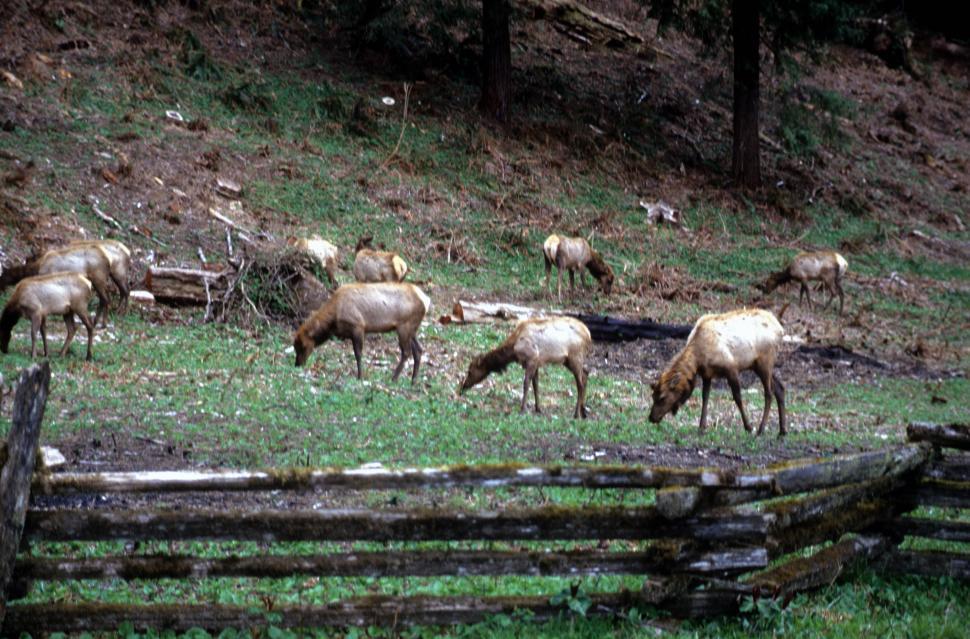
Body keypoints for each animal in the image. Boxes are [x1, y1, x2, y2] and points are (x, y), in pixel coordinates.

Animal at [293, 282, 430, 384]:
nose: (297, 364)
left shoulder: (358, 326)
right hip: (411, 329)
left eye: (303, 346)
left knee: (406, 352)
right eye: (295, 346)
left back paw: (394, 378)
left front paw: (360, 376)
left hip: (404, 327)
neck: (333, 320)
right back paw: (413, 380)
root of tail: (426, 300)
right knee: (418, 350)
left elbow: (358, 354)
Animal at [459, 317, 592, 418]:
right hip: (570, 361)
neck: (513, 350)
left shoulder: (532, 358)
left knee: (580, 384)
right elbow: (536, 385)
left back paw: (576, 414)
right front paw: (538, 408)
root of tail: (588, 334)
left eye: (470, 371)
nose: (462, 387)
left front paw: (523, 408)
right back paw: (583, 411)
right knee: (585, 374)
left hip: (575, 357)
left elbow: (526, 384)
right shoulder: (536, 362)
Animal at [648, 308, 787, 437]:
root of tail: (780, 330)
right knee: (779, 387)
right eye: (653, 396)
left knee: (768, 393)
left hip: (765, 361)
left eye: (662, 397)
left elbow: (737, 398)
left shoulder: (731, 368)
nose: (651, 418)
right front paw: (701, 427)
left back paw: (761, 429)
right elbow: (705, 397)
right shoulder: (707, 374)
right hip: (759, 366)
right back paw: (782, 431)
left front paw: (748, 427)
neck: (698, 358)